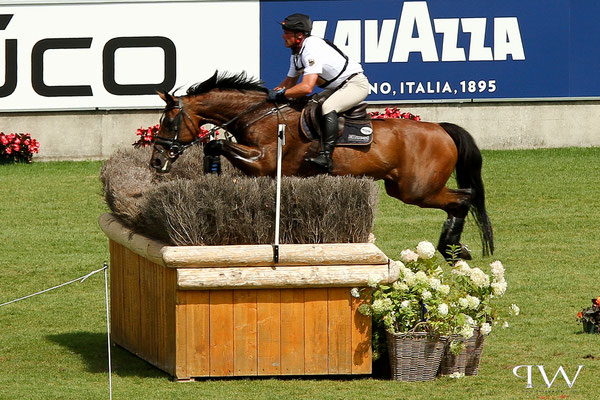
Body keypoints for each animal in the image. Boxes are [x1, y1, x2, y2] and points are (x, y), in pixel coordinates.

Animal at [149, 71, 492, 260]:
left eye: (169, 122)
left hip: (417, 190)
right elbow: (214, 145)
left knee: (464, 198)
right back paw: (454, 249)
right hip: (403, 188)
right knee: (460, 200)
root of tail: (442, 128)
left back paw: (451, 248)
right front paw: (211, 170)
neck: (258, 114)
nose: (156, 161)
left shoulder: (264, 162)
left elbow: (217, 143)